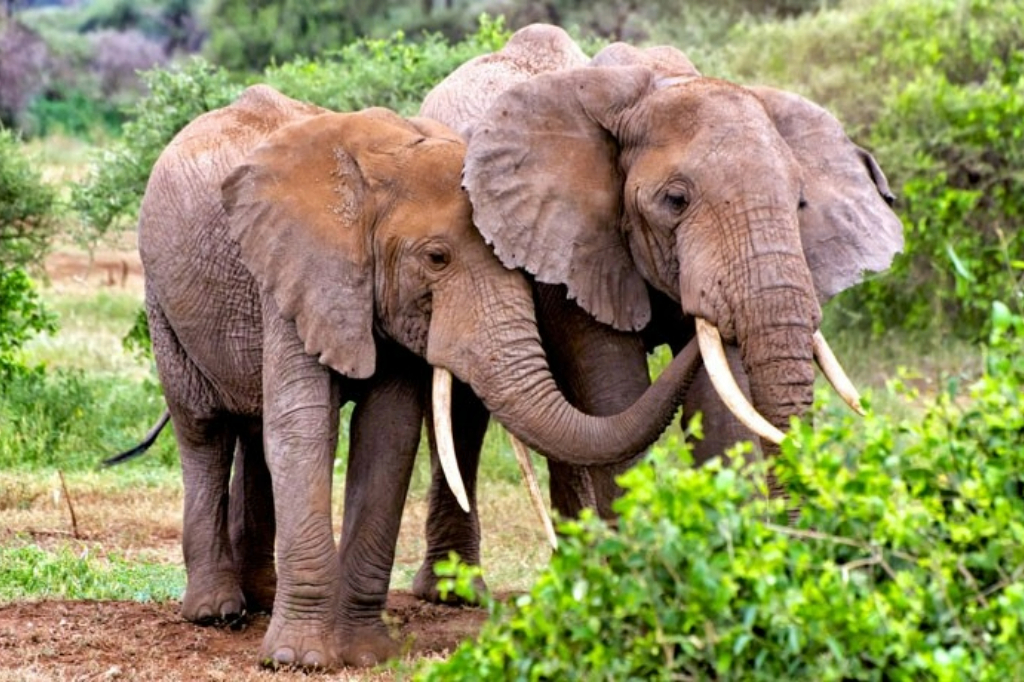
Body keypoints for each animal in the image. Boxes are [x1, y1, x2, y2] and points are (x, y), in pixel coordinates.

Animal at [138, 82, 704, 667]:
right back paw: (216, 612)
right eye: (436, 258)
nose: (695, 319)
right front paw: (298, 660)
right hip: (161, 299)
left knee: (251, 430)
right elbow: (305, 429)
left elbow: (388, 437)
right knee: (203, 429)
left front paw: (365, 654)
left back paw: (262, 599)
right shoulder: (299, 273)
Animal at [409, 23, 905, 602]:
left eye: (800, 201)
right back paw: (454, 593)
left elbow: (716, 400)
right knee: (467, 413)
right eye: (675, 201)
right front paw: (636, 583)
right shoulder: (574, 242)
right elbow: (613, 387)